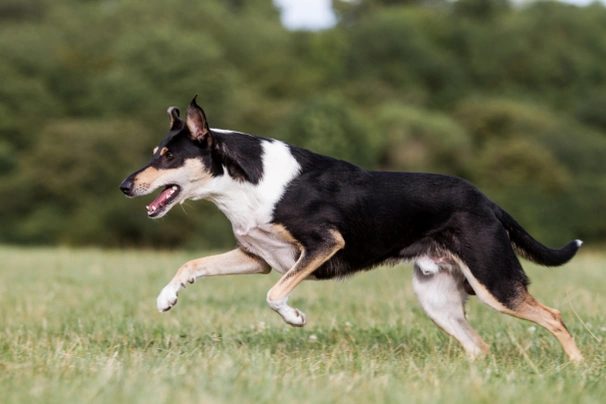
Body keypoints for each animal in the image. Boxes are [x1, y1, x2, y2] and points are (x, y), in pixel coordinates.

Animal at [120, 96, 584, 362]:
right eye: (155, 153)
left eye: (167, 156)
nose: (125, 186)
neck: (242, 183)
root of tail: (486, 200)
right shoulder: (258, 256)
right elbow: (191, 264)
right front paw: (166, 298)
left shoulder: (321, 244)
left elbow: (274, 295)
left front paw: (295, 317)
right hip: (438, 300)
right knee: (479, 346)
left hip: (495, 282)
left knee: (554, 316)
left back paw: (578, 368)